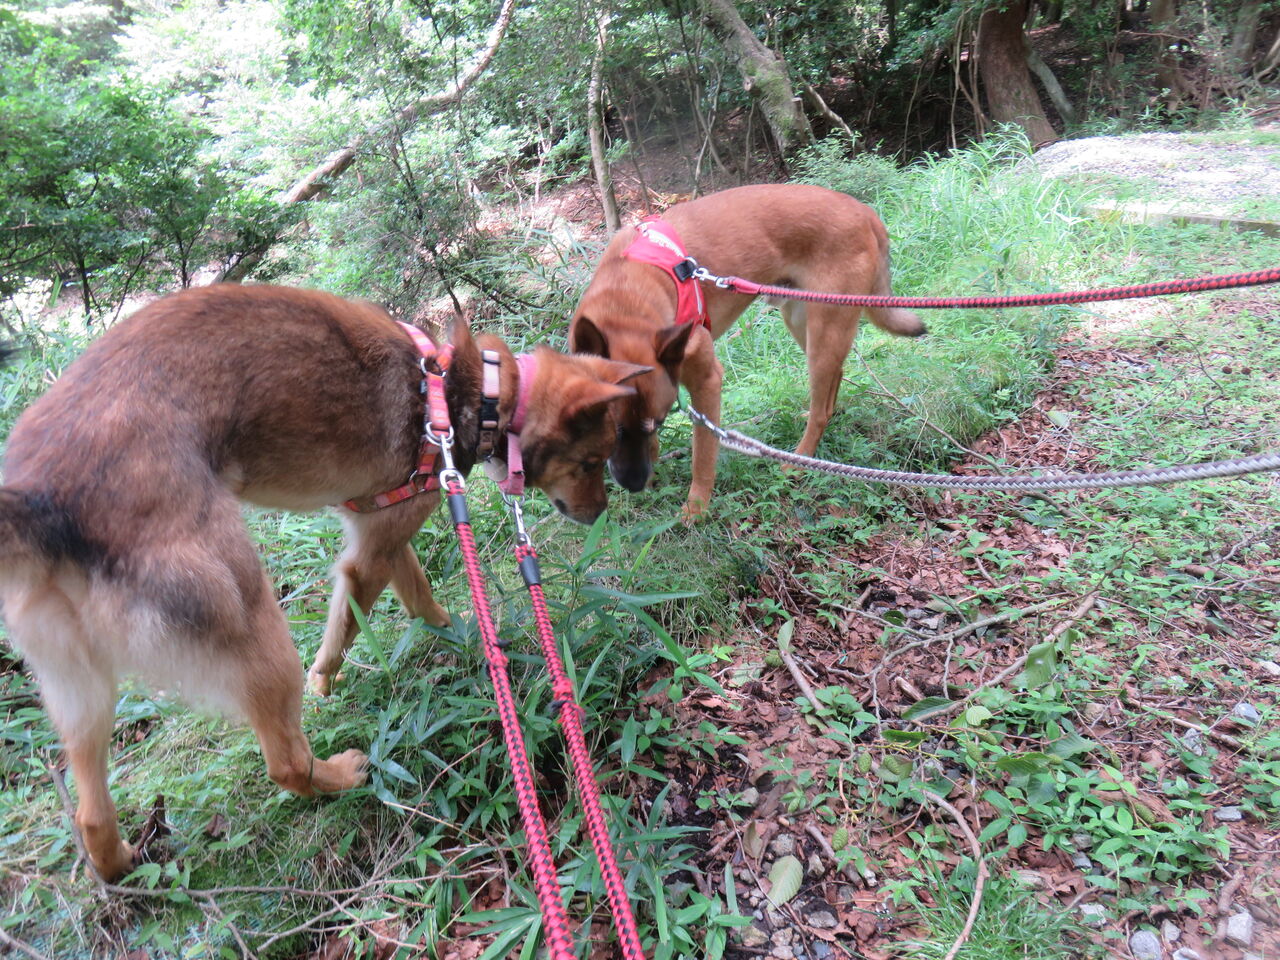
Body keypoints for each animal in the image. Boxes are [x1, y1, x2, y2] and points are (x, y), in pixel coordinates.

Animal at [0, 281, 645, 885]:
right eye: (592, 462)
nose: (606, 509)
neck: (469, 391)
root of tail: (38, 500)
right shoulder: (370, 553)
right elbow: (345, 631)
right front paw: (329, 681)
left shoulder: (383, 528)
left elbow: (417, 595)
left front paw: (455, 634)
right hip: (256, 625)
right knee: (284, 763)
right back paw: (342, 774)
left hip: (78, 693)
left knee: (89, 811)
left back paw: (118, 863)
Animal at [570, 181, 921, 519]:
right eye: (613, 431)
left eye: (658, 421)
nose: (634, 484)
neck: (626, 296)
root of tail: (864, 212)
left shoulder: (707, 382)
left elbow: (703, 454)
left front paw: (696, 509)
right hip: (803, 323)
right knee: (833, 382)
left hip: (824, 330)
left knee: (822, 410)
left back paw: (798, 461)